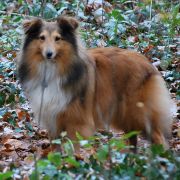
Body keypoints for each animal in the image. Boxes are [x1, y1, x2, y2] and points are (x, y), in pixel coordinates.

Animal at [17, 16, 172, 149]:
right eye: (42, 38)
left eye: (58, 38)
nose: (49, 54)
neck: (52, 69)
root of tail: (148, 63)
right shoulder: (53, 120)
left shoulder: (76, 122)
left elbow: (72, 150)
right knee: (132, 138)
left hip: (138, 113)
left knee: (158, 136)